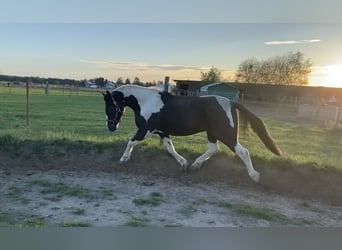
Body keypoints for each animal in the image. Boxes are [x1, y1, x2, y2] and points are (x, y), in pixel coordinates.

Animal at [102, 85, 284, 183]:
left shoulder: (146, 130)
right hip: (212, 133)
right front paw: (184, 163)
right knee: (213, 149)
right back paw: (195, 165)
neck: (145, 102)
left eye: (111, 106)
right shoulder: (162, 132)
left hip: (226, 134)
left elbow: (131, 142)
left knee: (242, 151)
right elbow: (170, 148)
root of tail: (231, 103)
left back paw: (255, 176)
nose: (111, 127)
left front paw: (123, 159)